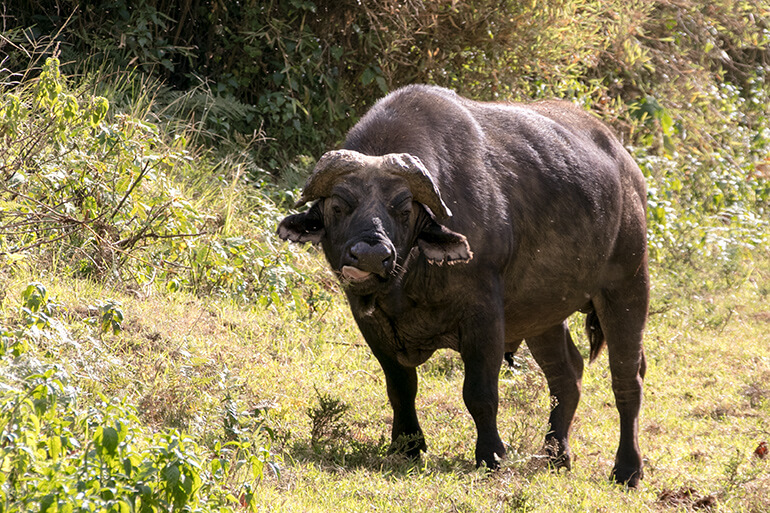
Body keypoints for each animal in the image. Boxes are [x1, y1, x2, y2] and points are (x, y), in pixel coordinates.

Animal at [278, 84, 648, 484]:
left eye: (404, 209)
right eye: (338, 207)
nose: (372, 255)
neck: (407, 281)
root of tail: (629, 172)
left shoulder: (483, 316)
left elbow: (480, 392)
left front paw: (491, 454)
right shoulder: (371, 323)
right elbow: (401, 386)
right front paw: (407, 445)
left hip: (627, 285)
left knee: (627, 378)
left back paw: (627, 469)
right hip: (543, 313)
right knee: (567, 374)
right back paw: (555, 454)